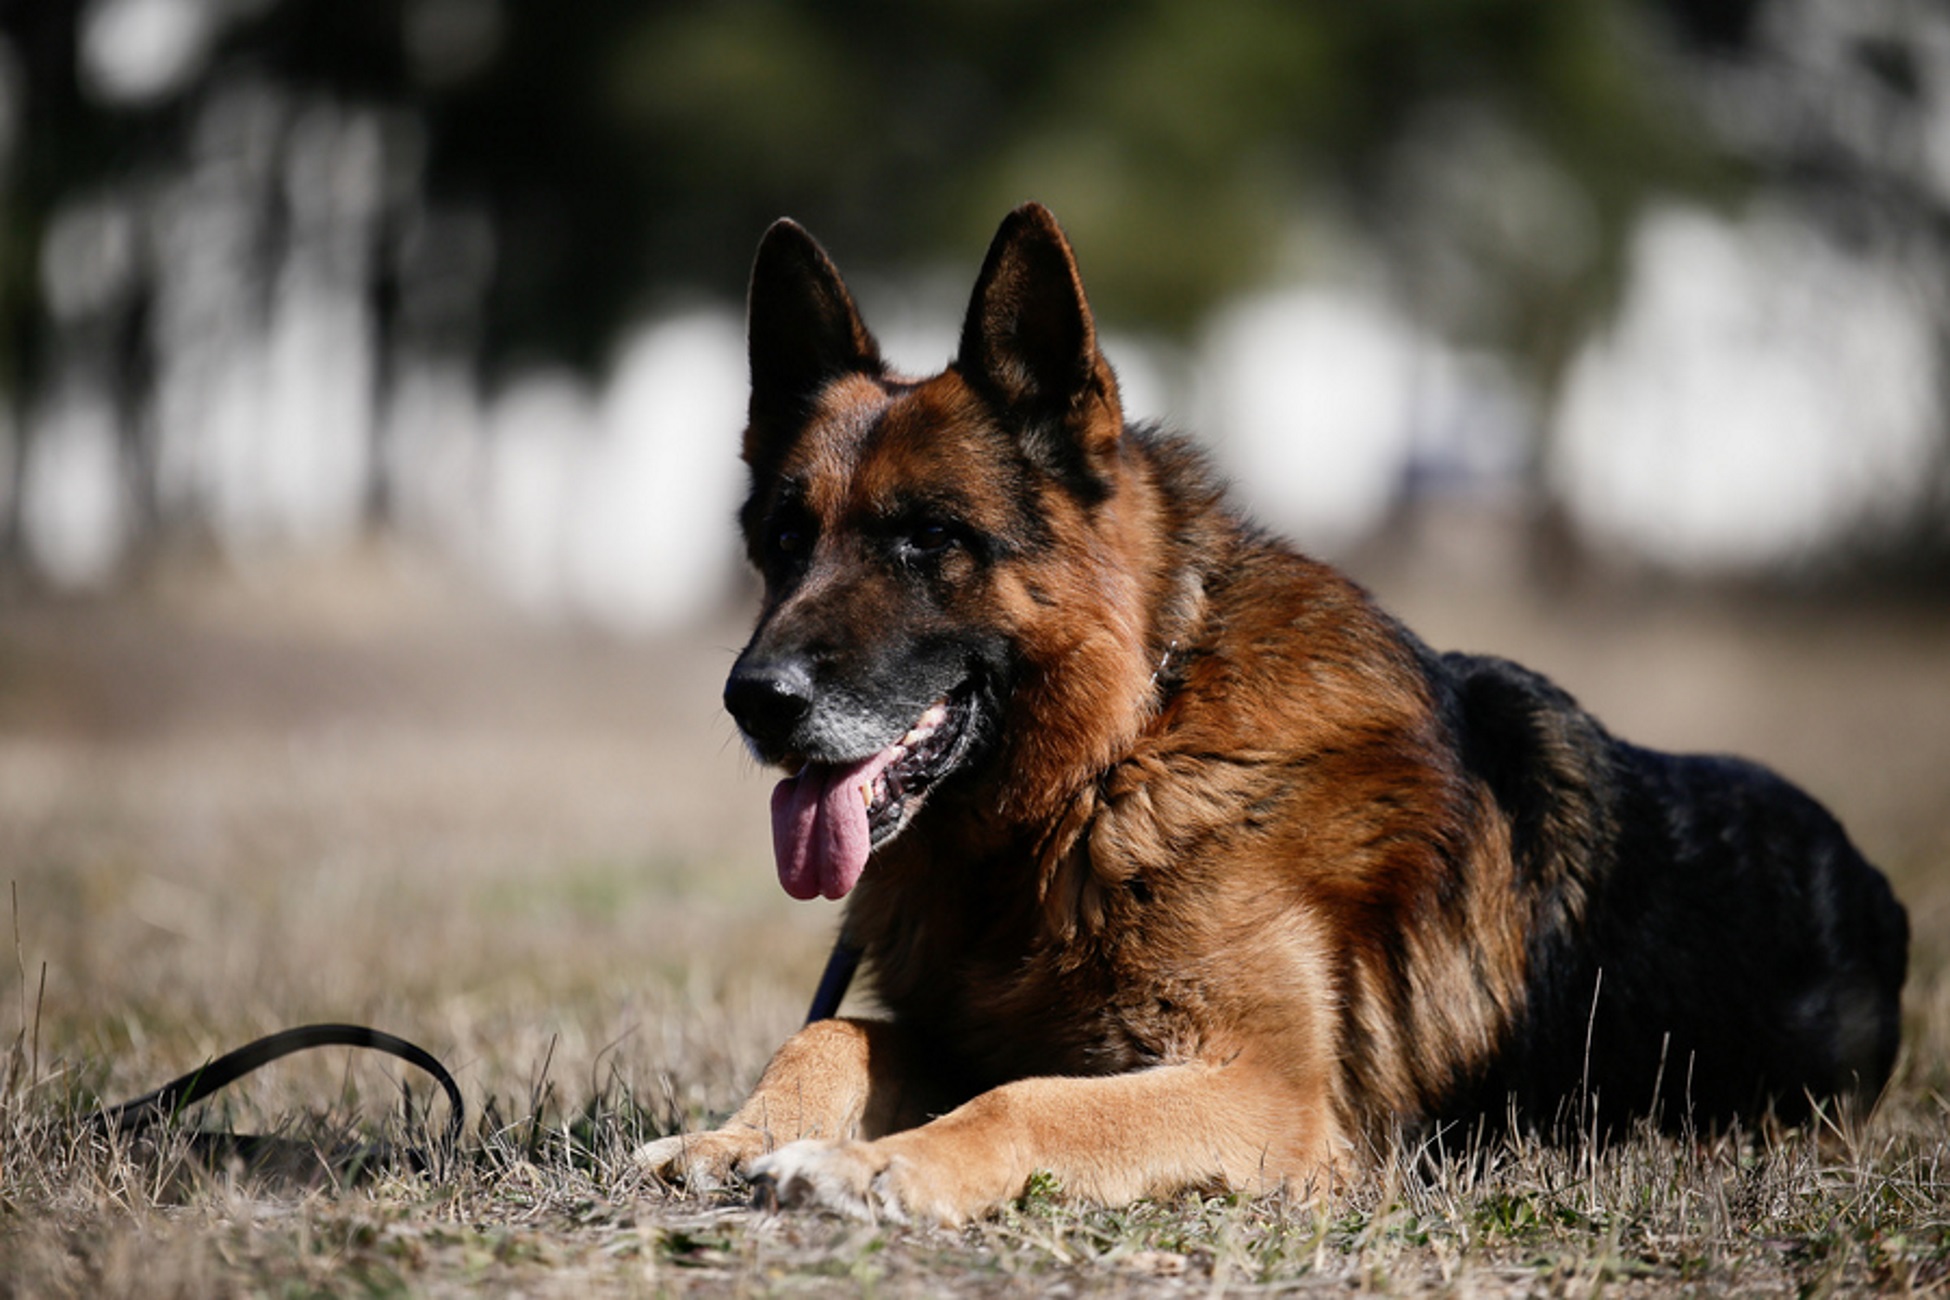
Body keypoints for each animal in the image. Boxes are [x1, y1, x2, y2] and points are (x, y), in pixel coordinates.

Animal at [635, 200, 1903, 1223]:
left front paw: (880, 1165)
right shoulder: (973, 1026)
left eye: (928, 538)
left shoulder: (1265, 1092)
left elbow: (1028, 1101)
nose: (756, 701)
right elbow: (831, 1032)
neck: (1115, 761)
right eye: (784, 539)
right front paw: (733, 1135)